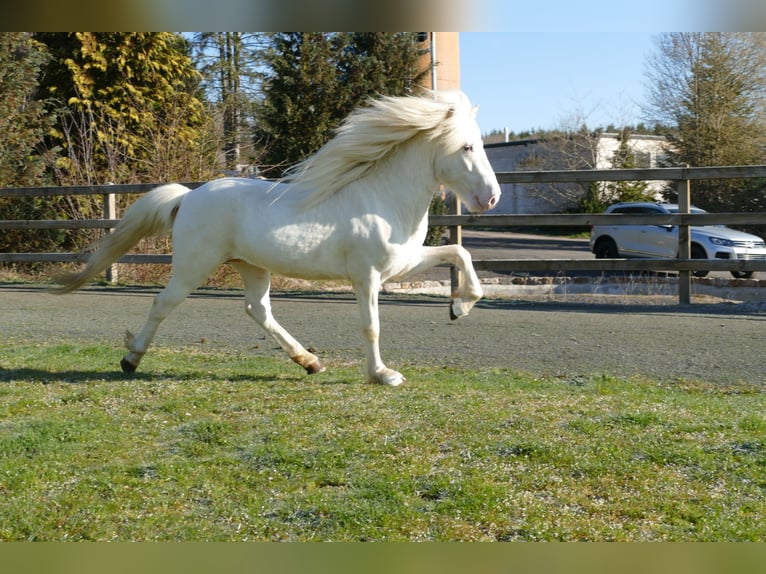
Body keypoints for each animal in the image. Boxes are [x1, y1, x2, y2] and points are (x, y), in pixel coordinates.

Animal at [50, 90, 501, 386]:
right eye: (466, 147)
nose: (491, 197)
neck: (382, 198)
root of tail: (189, 196)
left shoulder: (403, 263)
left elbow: (459, 253)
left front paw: (459, 308)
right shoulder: (367, 276)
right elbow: (371, 326)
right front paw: (383, 375)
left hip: (251, 267)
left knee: (258, 310)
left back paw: (310, 362)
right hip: (194, 266)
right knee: (164, 303)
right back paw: (130, 359)